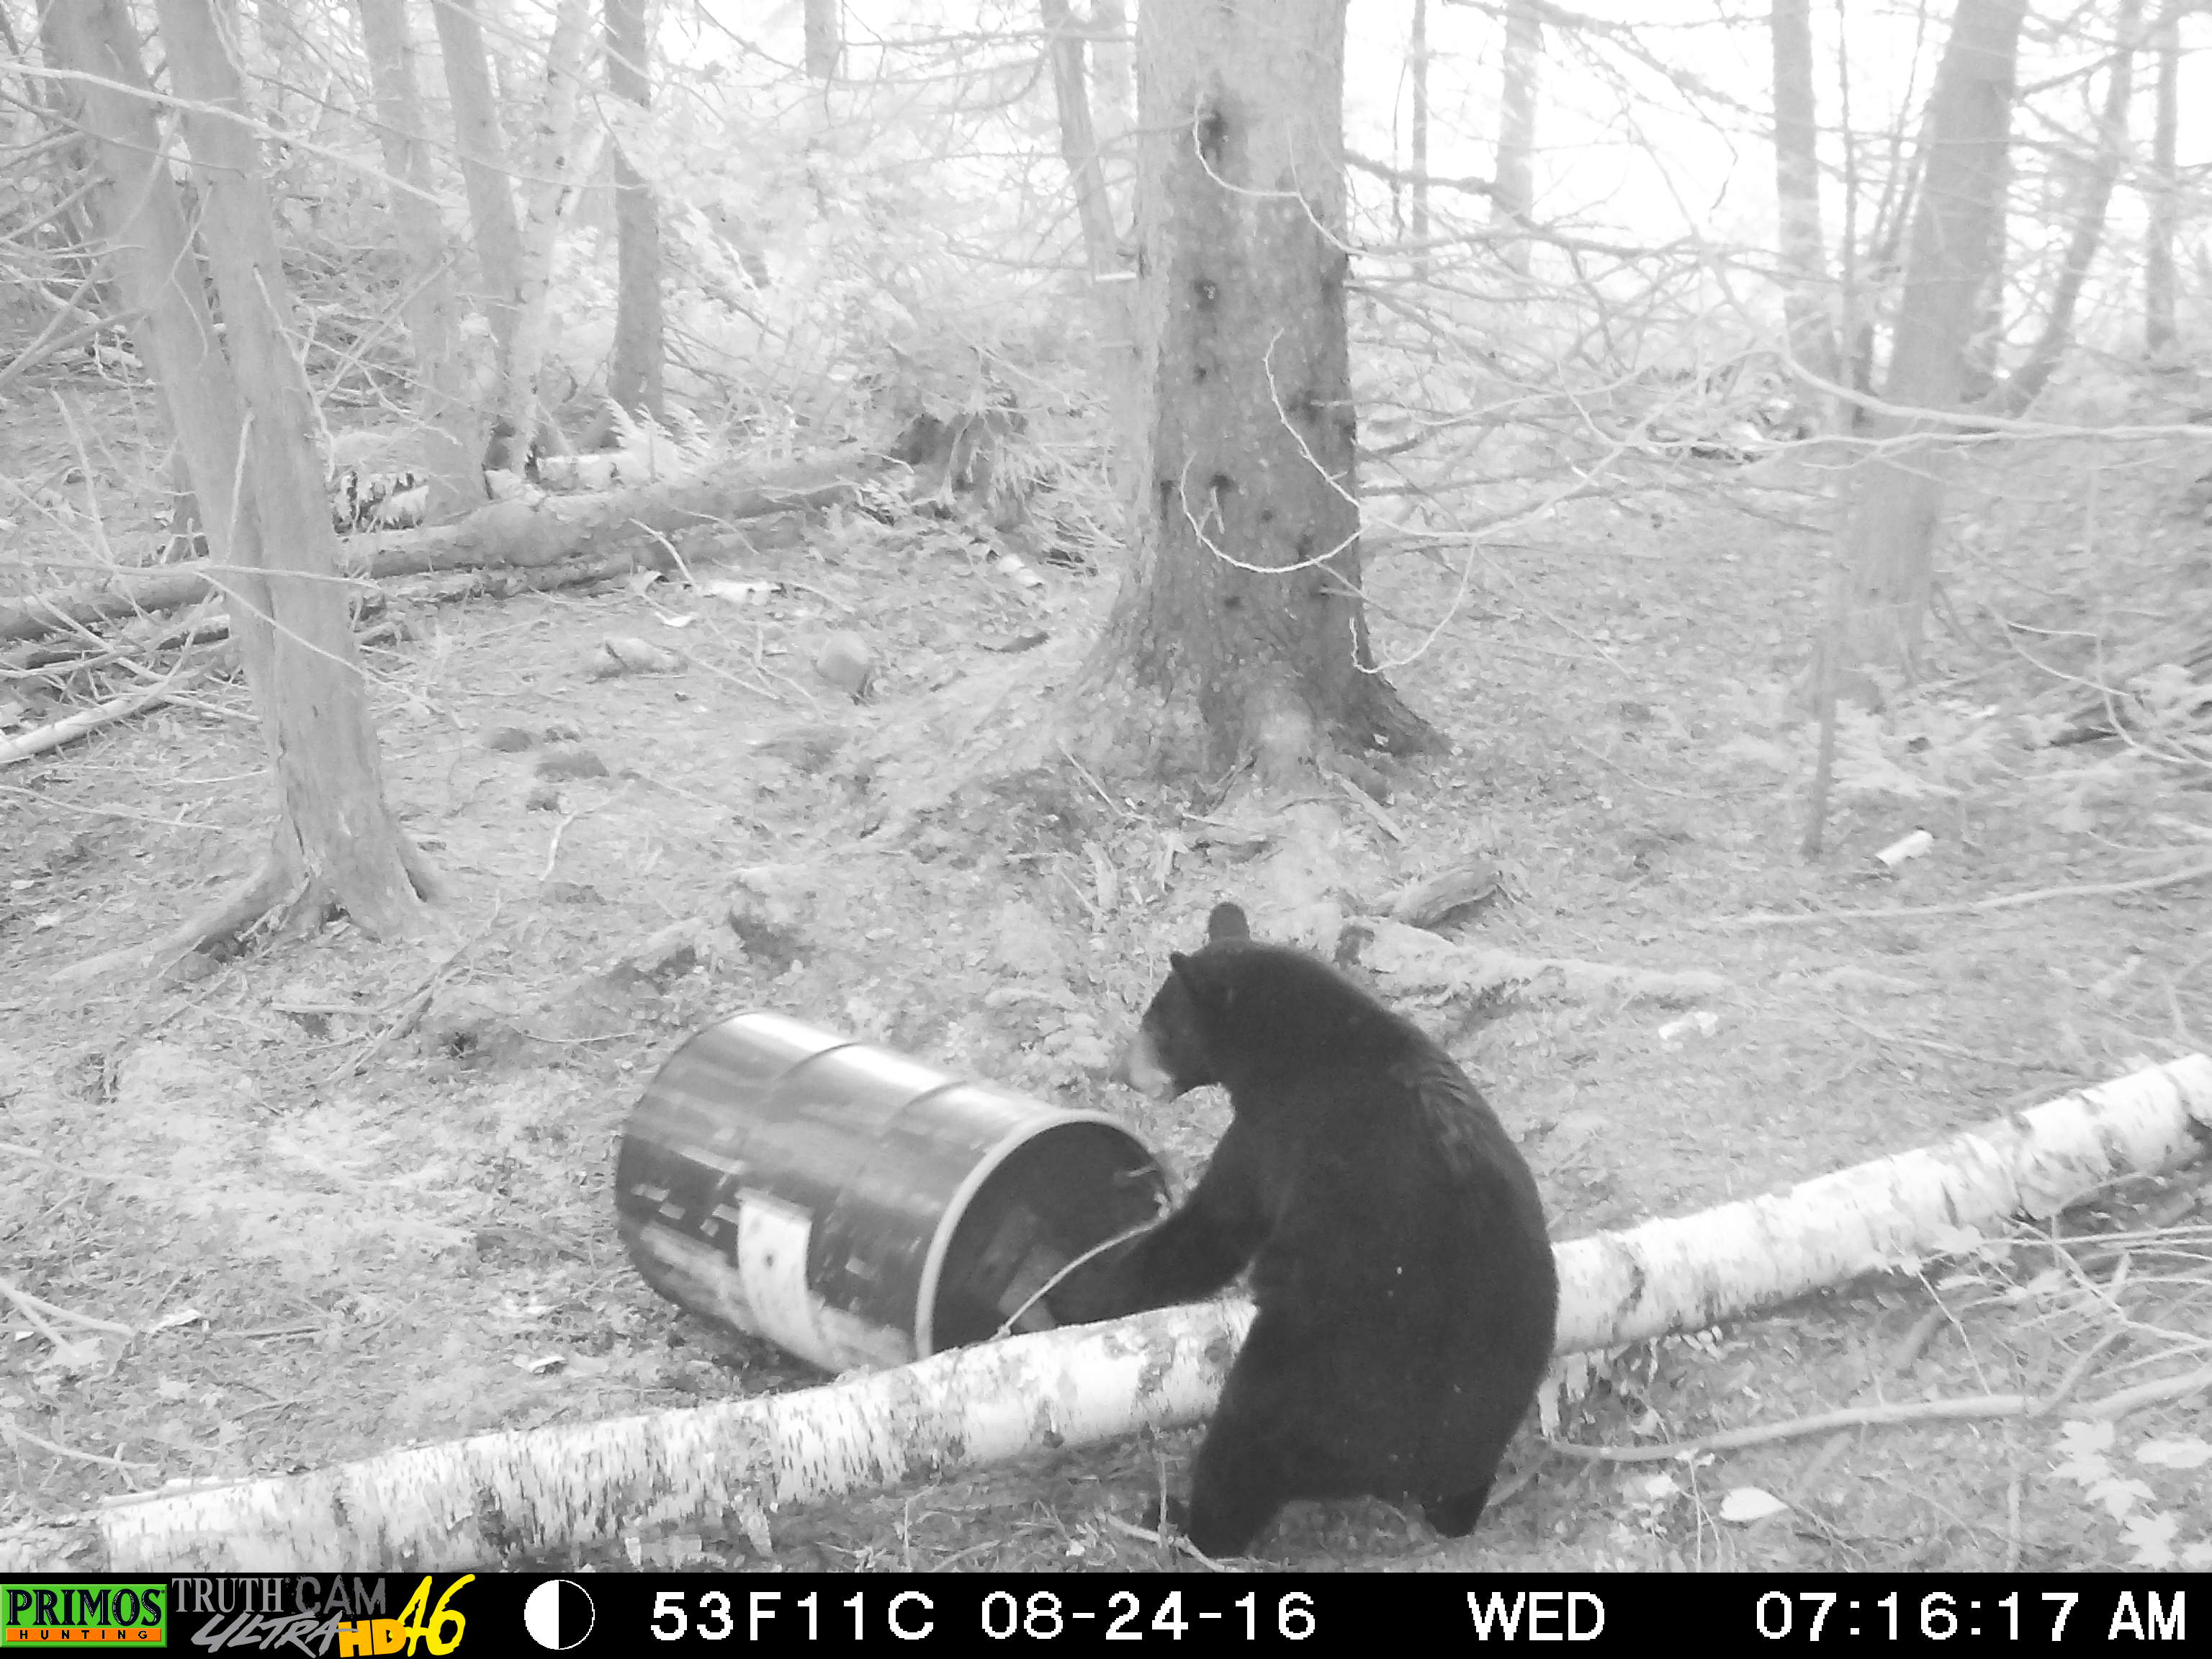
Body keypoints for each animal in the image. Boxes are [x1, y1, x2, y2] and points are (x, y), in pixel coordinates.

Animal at [1054, 901, 1558, 1557]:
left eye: (1158, 1022)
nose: (1123, 1069)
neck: (1302, 1043)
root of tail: (1426, 1464)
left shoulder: (1274, 1135)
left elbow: (1210, 1229)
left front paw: (1079, 1293)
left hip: (1307, 1379)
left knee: (1241, 1451)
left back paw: (1180, 1518)